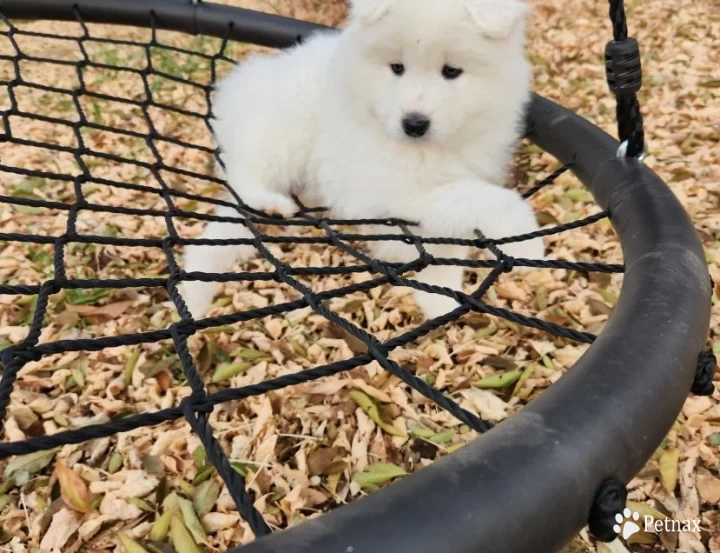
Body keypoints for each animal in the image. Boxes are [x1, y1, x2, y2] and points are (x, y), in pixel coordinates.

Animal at [180, 0, 540, 320]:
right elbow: (480, 197)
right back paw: (270, 203)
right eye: (397, 67)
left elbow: (448, 244)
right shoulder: (390, 187)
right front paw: (527, 239)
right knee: (246, 173)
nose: (414, 124)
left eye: (451, 71)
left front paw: (441, 299)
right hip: (285, 131)